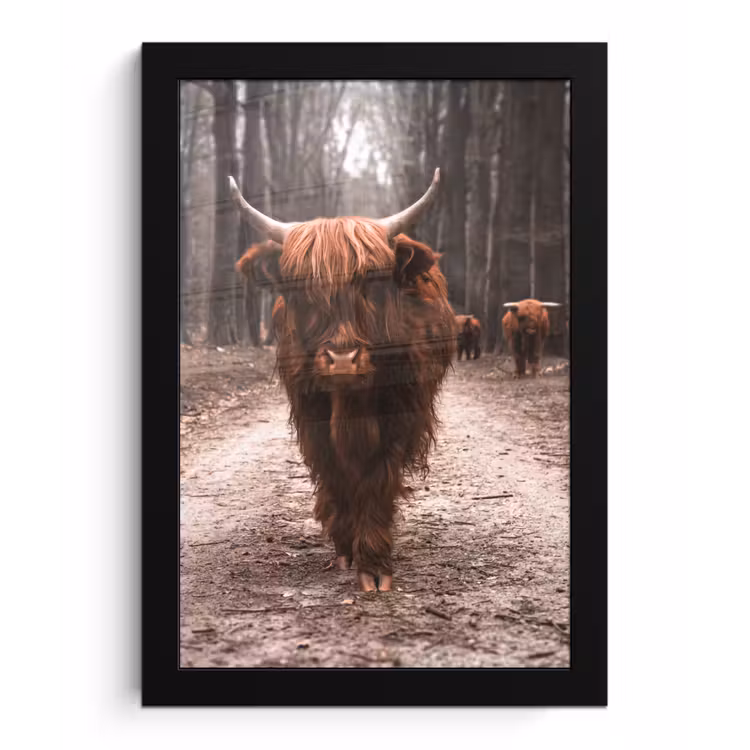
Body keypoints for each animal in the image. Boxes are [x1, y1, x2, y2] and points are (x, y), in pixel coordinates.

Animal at [228, 169, 455, 592]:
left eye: (371, 281)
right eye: (301, 286)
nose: (343, 360)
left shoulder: (400, 418)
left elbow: (377, 478)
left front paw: (375, 563)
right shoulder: (310, 417)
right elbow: (335, 473)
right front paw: (346, 546)